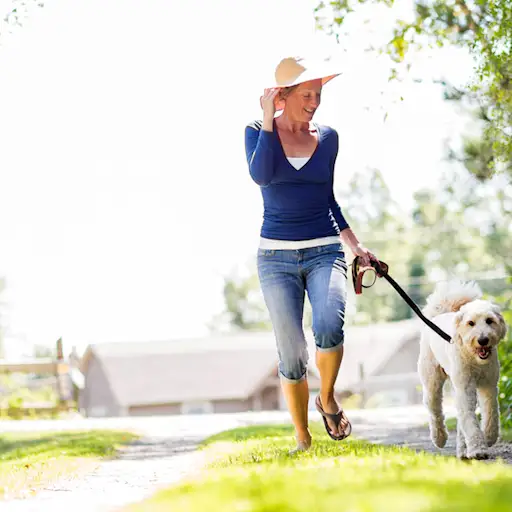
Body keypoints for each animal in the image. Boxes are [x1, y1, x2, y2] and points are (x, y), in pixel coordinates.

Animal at [420, 280, 508, 460]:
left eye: (489, 320)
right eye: (470, 323)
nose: (483, 340)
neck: (474, 359)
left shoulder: (488, 386)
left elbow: (491, 412)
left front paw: (489, 437)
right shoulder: (466, 388)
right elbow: (469, 419)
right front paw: (478, 449)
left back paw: (462, 450)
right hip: (433, 381)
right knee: (434, 410)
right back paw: (439, 438)